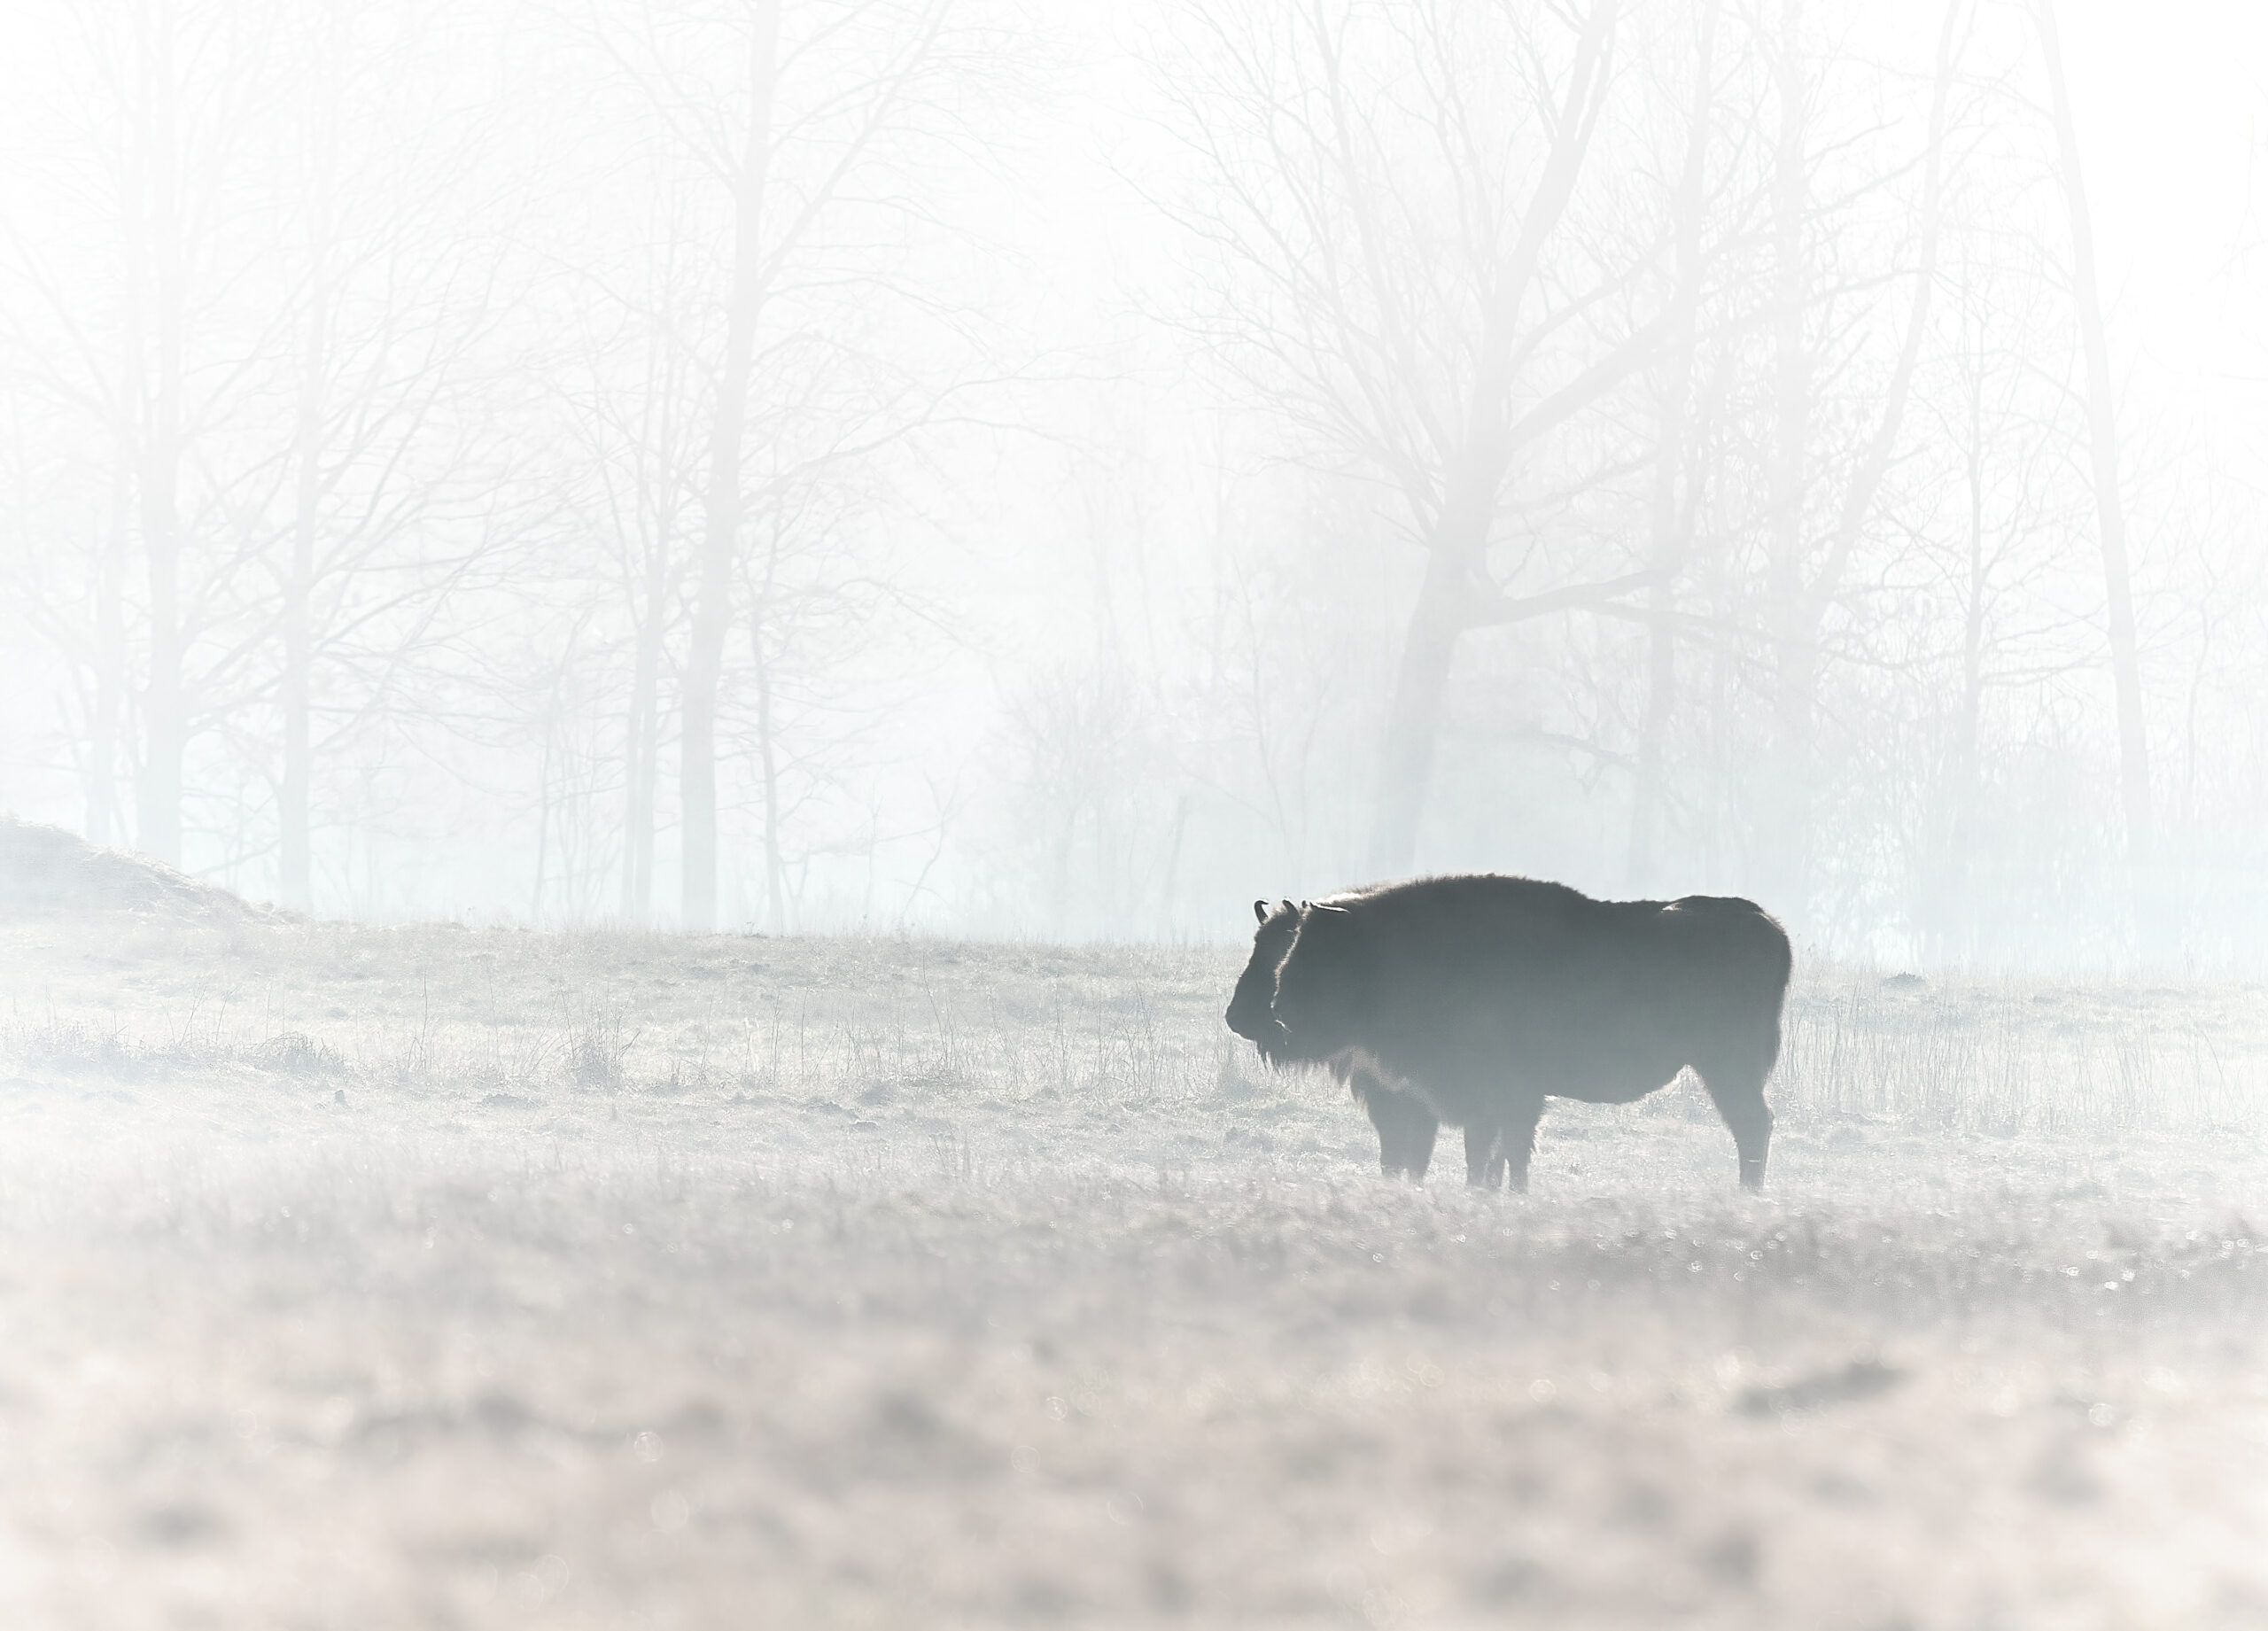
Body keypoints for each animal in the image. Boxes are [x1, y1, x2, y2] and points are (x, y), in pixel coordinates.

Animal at [1224, 880, 1787, 1188]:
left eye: (1309, 953)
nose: (1250, 1015)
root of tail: (1767, 923)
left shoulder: (1483, 1097)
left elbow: (1483, 1154)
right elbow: (1495, 1154)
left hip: (1728, 1067)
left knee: (1752, 1126)